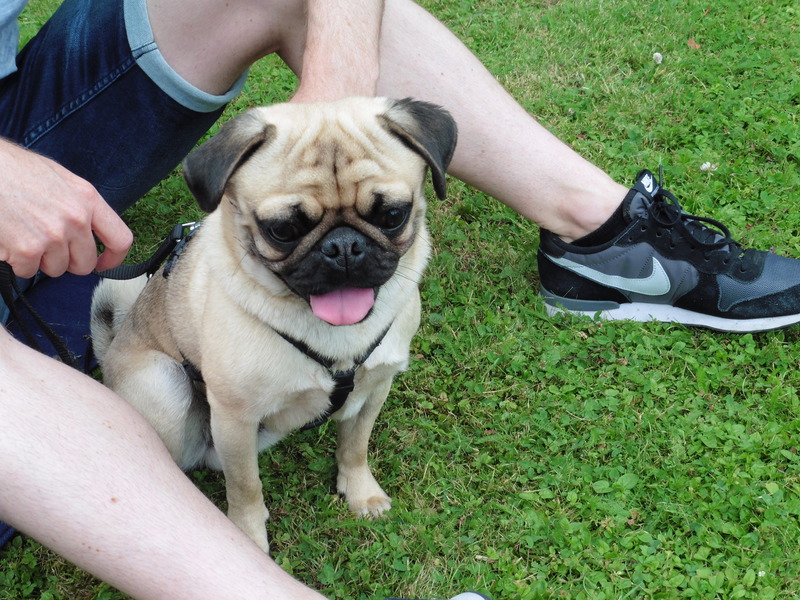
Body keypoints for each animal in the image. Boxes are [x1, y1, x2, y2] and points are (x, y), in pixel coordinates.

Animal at [89, 97, 457, 551]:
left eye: (392, 215)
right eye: (282, 229)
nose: (343, 246)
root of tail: (109, 351)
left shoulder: (375, 388)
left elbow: (355, 446)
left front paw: (361, 493)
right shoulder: (234, 420)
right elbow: (245, 487)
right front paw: (247, 538)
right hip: (164, 382)